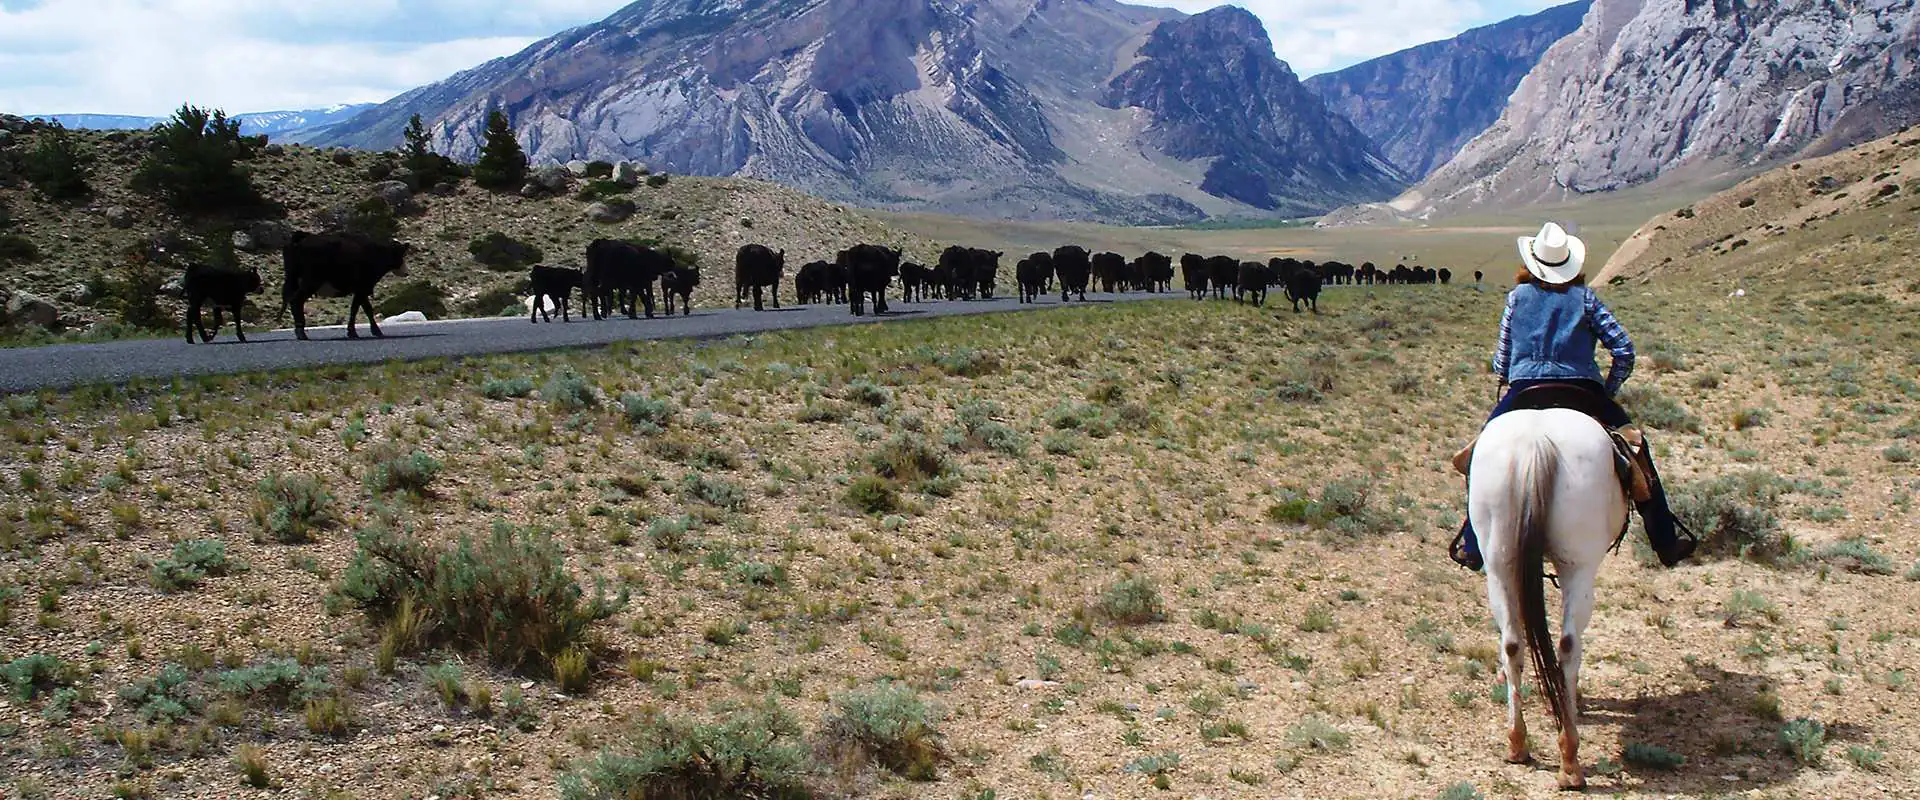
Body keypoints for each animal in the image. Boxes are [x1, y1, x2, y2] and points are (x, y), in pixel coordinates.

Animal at [278, 229, 408, 337]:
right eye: (401, 254)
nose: (406, 272)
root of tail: (302, 238)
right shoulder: (363, 288)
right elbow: (360, 309)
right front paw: (366, 331)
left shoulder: (360, 290)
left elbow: (362, 308)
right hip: (311, 282)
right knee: (296, 301)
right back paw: (301, 333)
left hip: (294, 279)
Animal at [1474, 408, 1628, 790]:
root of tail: (1535, 443)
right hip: (1579, 568)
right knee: (1568, 644)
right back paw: (1570, 760)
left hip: (1499, 567)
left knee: (1512, 643)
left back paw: (1517, 743)